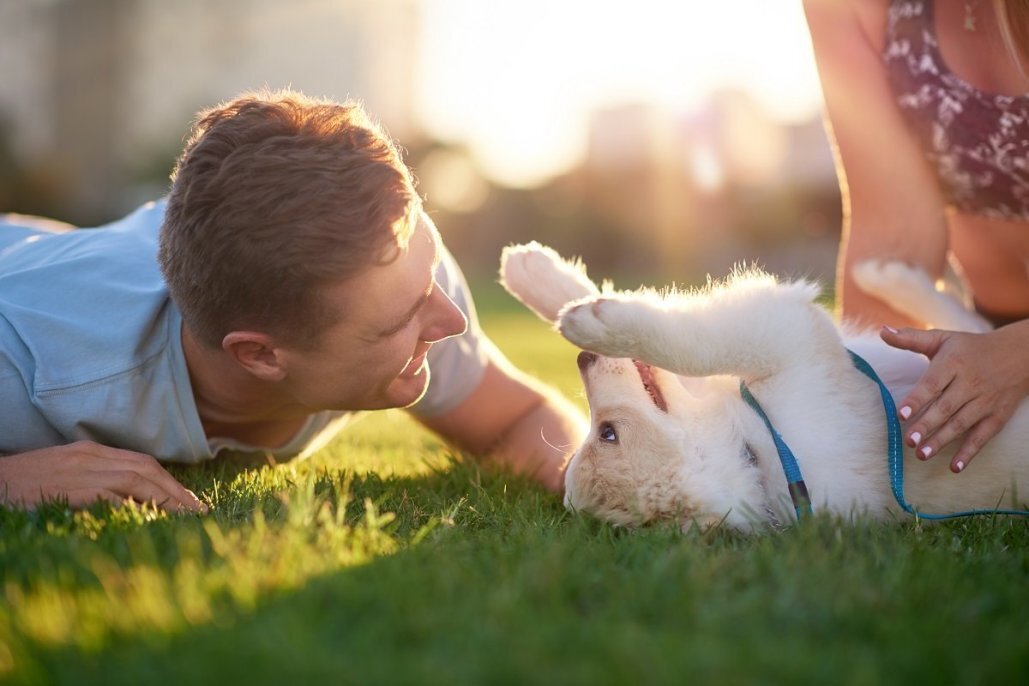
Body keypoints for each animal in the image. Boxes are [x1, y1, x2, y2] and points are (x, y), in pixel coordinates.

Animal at [500, 243, 1029, 534]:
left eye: (606, 433)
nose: (582, 359)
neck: (760, 442)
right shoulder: (790, 338)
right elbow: (690, 340)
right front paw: (583, 316)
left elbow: (675, 335)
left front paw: (545, 283)